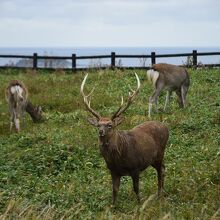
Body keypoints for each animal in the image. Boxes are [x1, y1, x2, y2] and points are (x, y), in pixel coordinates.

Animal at [80, 72, 168, 205]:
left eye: (110, 125)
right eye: (98, 125)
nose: (101, 132)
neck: (118, 158)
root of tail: (166, 127)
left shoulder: (135, 167)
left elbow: (136, 188)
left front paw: (140, 204)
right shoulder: (113, 171)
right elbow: (114, 190)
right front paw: (113, 206)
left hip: (159, 153)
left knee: (161, 170)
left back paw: (159, 194)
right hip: (153, 159)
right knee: (163, 168)